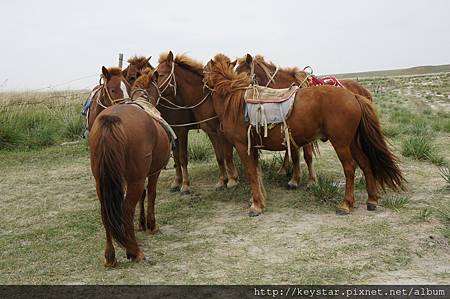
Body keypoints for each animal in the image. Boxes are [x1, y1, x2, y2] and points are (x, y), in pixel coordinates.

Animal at [88, 66, 171, 268]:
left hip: (101, 181)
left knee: (106, 211)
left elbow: (142, 196)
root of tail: (111, 118)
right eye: (112, 89)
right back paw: (134, 251)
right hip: (135, 179)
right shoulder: (153, 172)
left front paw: (140, 224)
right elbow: (151, 194)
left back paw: (110, 256)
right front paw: (150, 224)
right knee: (126, 209)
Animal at [155, 51, 239, 192]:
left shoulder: (185, 131)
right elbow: (219, 156)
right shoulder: (208, 132)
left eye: (160, 74)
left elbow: (226, 154)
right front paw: (222, 181)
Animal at [206, 54, 406, 218]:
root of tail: (354, 95)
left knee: (350, 167)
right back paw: (371, 200)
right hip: (353, 142)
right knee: (365, 163)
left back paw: (346, 204)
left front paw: (256, 206)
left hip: (341, 143)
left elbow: (252, 173)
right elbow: (258, 172)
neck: (232, 101)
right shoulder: (255, 147)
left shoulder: (242, 145)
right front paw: (261, 200)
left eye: (244, 71)